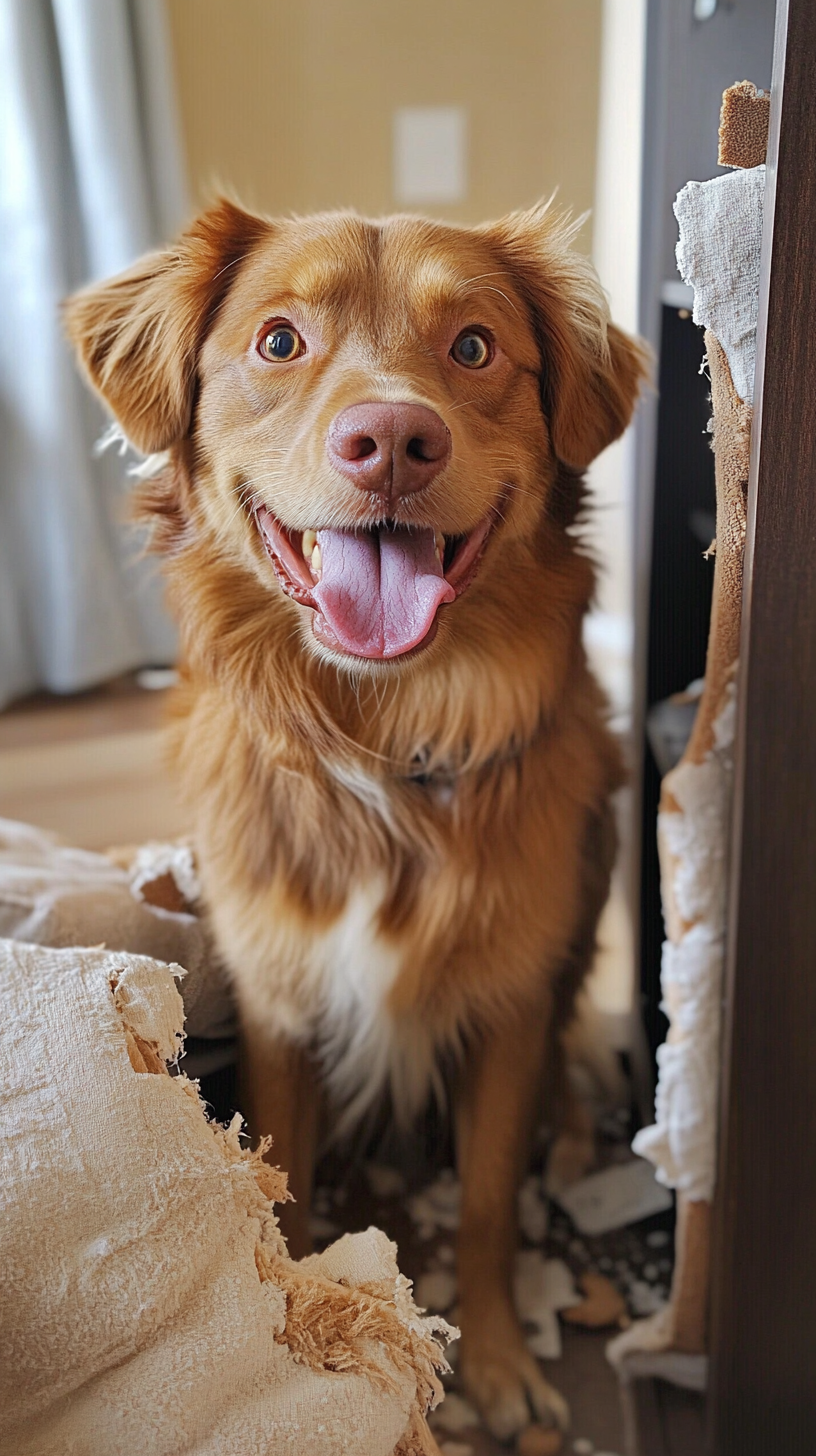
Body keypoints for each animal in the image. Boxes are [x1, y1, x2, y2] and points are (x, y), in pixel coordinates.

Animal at [67, 199, 646, 1438]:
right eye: (280, 341)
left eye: (474, 347)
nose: (390, 439)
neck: (382, 746)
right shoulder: (280, 1003)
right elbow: (282, 1179)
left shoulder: (510, 1008)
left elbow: (484, 1201)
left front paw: (496, 1361)